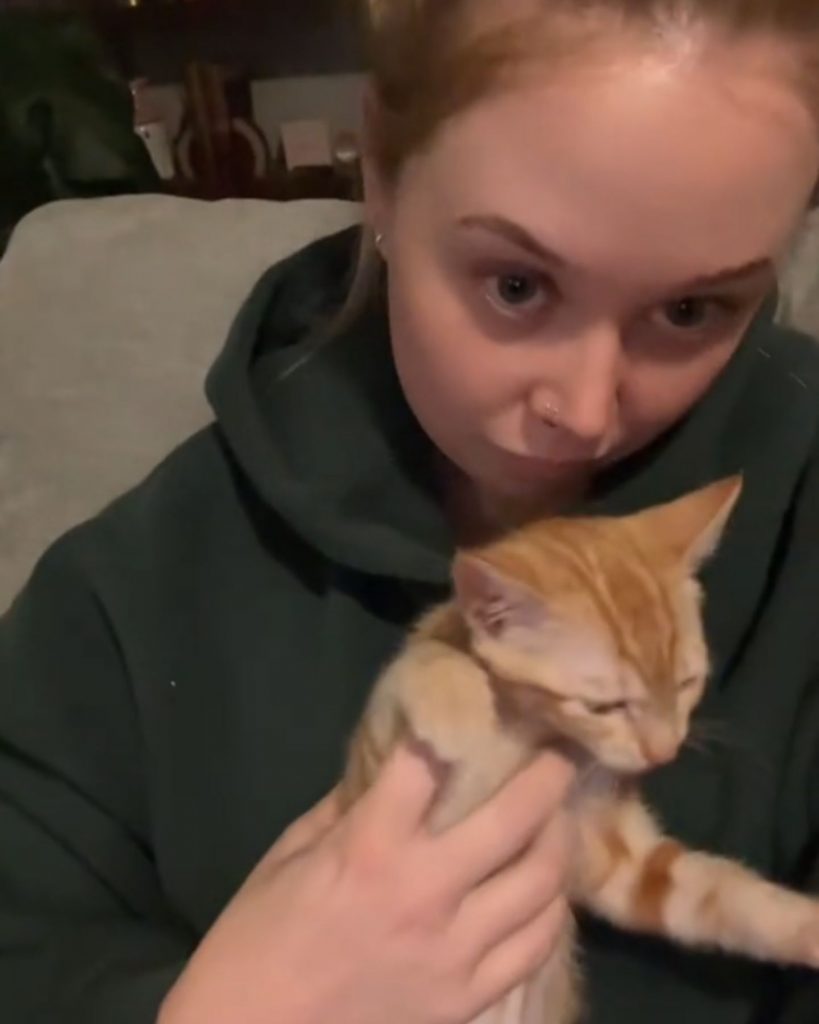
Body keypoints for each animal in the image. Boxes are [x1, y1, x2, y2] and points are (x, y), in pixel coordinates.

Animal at [337, 479, 818, 1024]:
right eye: (604, 706)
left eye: (686, 683)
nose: (664, 751)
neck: (542, 731)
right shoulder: (377, 775)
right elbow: (413, 666)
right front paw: (455, 697)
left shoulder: (614, 861)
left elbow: (716, 892)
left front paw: (805, 925)